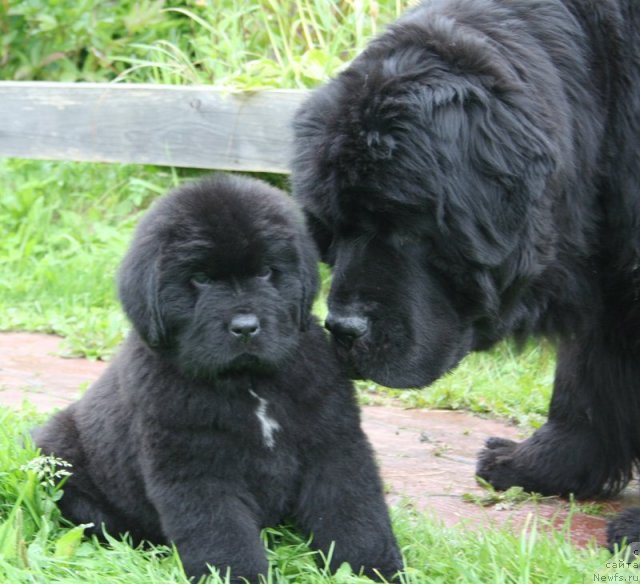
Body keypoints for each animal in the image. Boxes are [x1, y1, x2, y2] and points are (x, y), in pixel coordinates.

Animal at [33, 175, 400, 584]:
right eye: (201, 279)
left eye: (265, 272)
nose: (246, 327)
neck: (250, 382)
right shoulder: (197, 469)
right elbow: (222, 537)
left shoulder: (334, 443)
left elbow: (354, 514)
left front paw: (373, 570)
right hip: (56, 457)